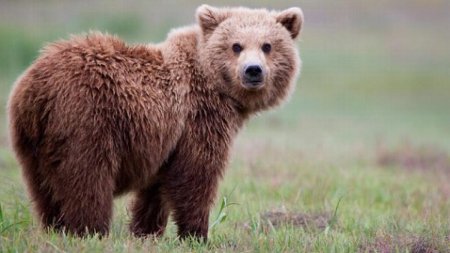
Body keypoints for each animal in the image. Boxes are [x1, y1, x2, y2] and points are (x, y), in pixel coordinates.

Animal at [7, 4, 304, 240]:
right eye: (236, 46)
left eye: (267, 45)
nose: (253, 70)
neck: (217, 89)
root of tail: (36, 88)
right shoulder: (197, 120)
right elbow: (197, 176)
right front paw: (196, 235)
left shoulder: (167, 142)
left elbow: (156, 190)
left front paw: (145, 231)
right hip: (86, 118)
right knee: (88, 179)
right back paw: (90, 231)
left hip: (31, 140)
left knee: (43, 188)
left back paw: (55, 227)